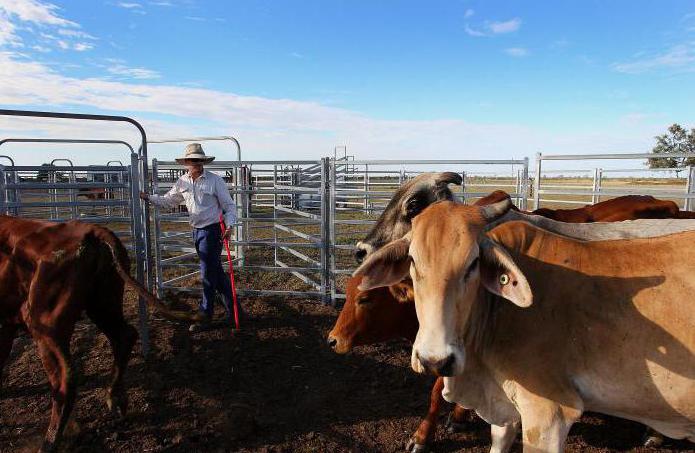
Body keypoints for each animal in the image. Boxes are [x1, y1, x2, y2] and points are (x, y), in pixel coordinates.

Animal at [0, 215, 196, 452]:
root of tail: (92, 231)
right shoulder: (6, 324)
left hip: (46, 324)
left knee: (65, 377)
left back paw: (50, 441)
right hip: (103, 302)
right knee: (124, 335)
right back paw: (116, 399)